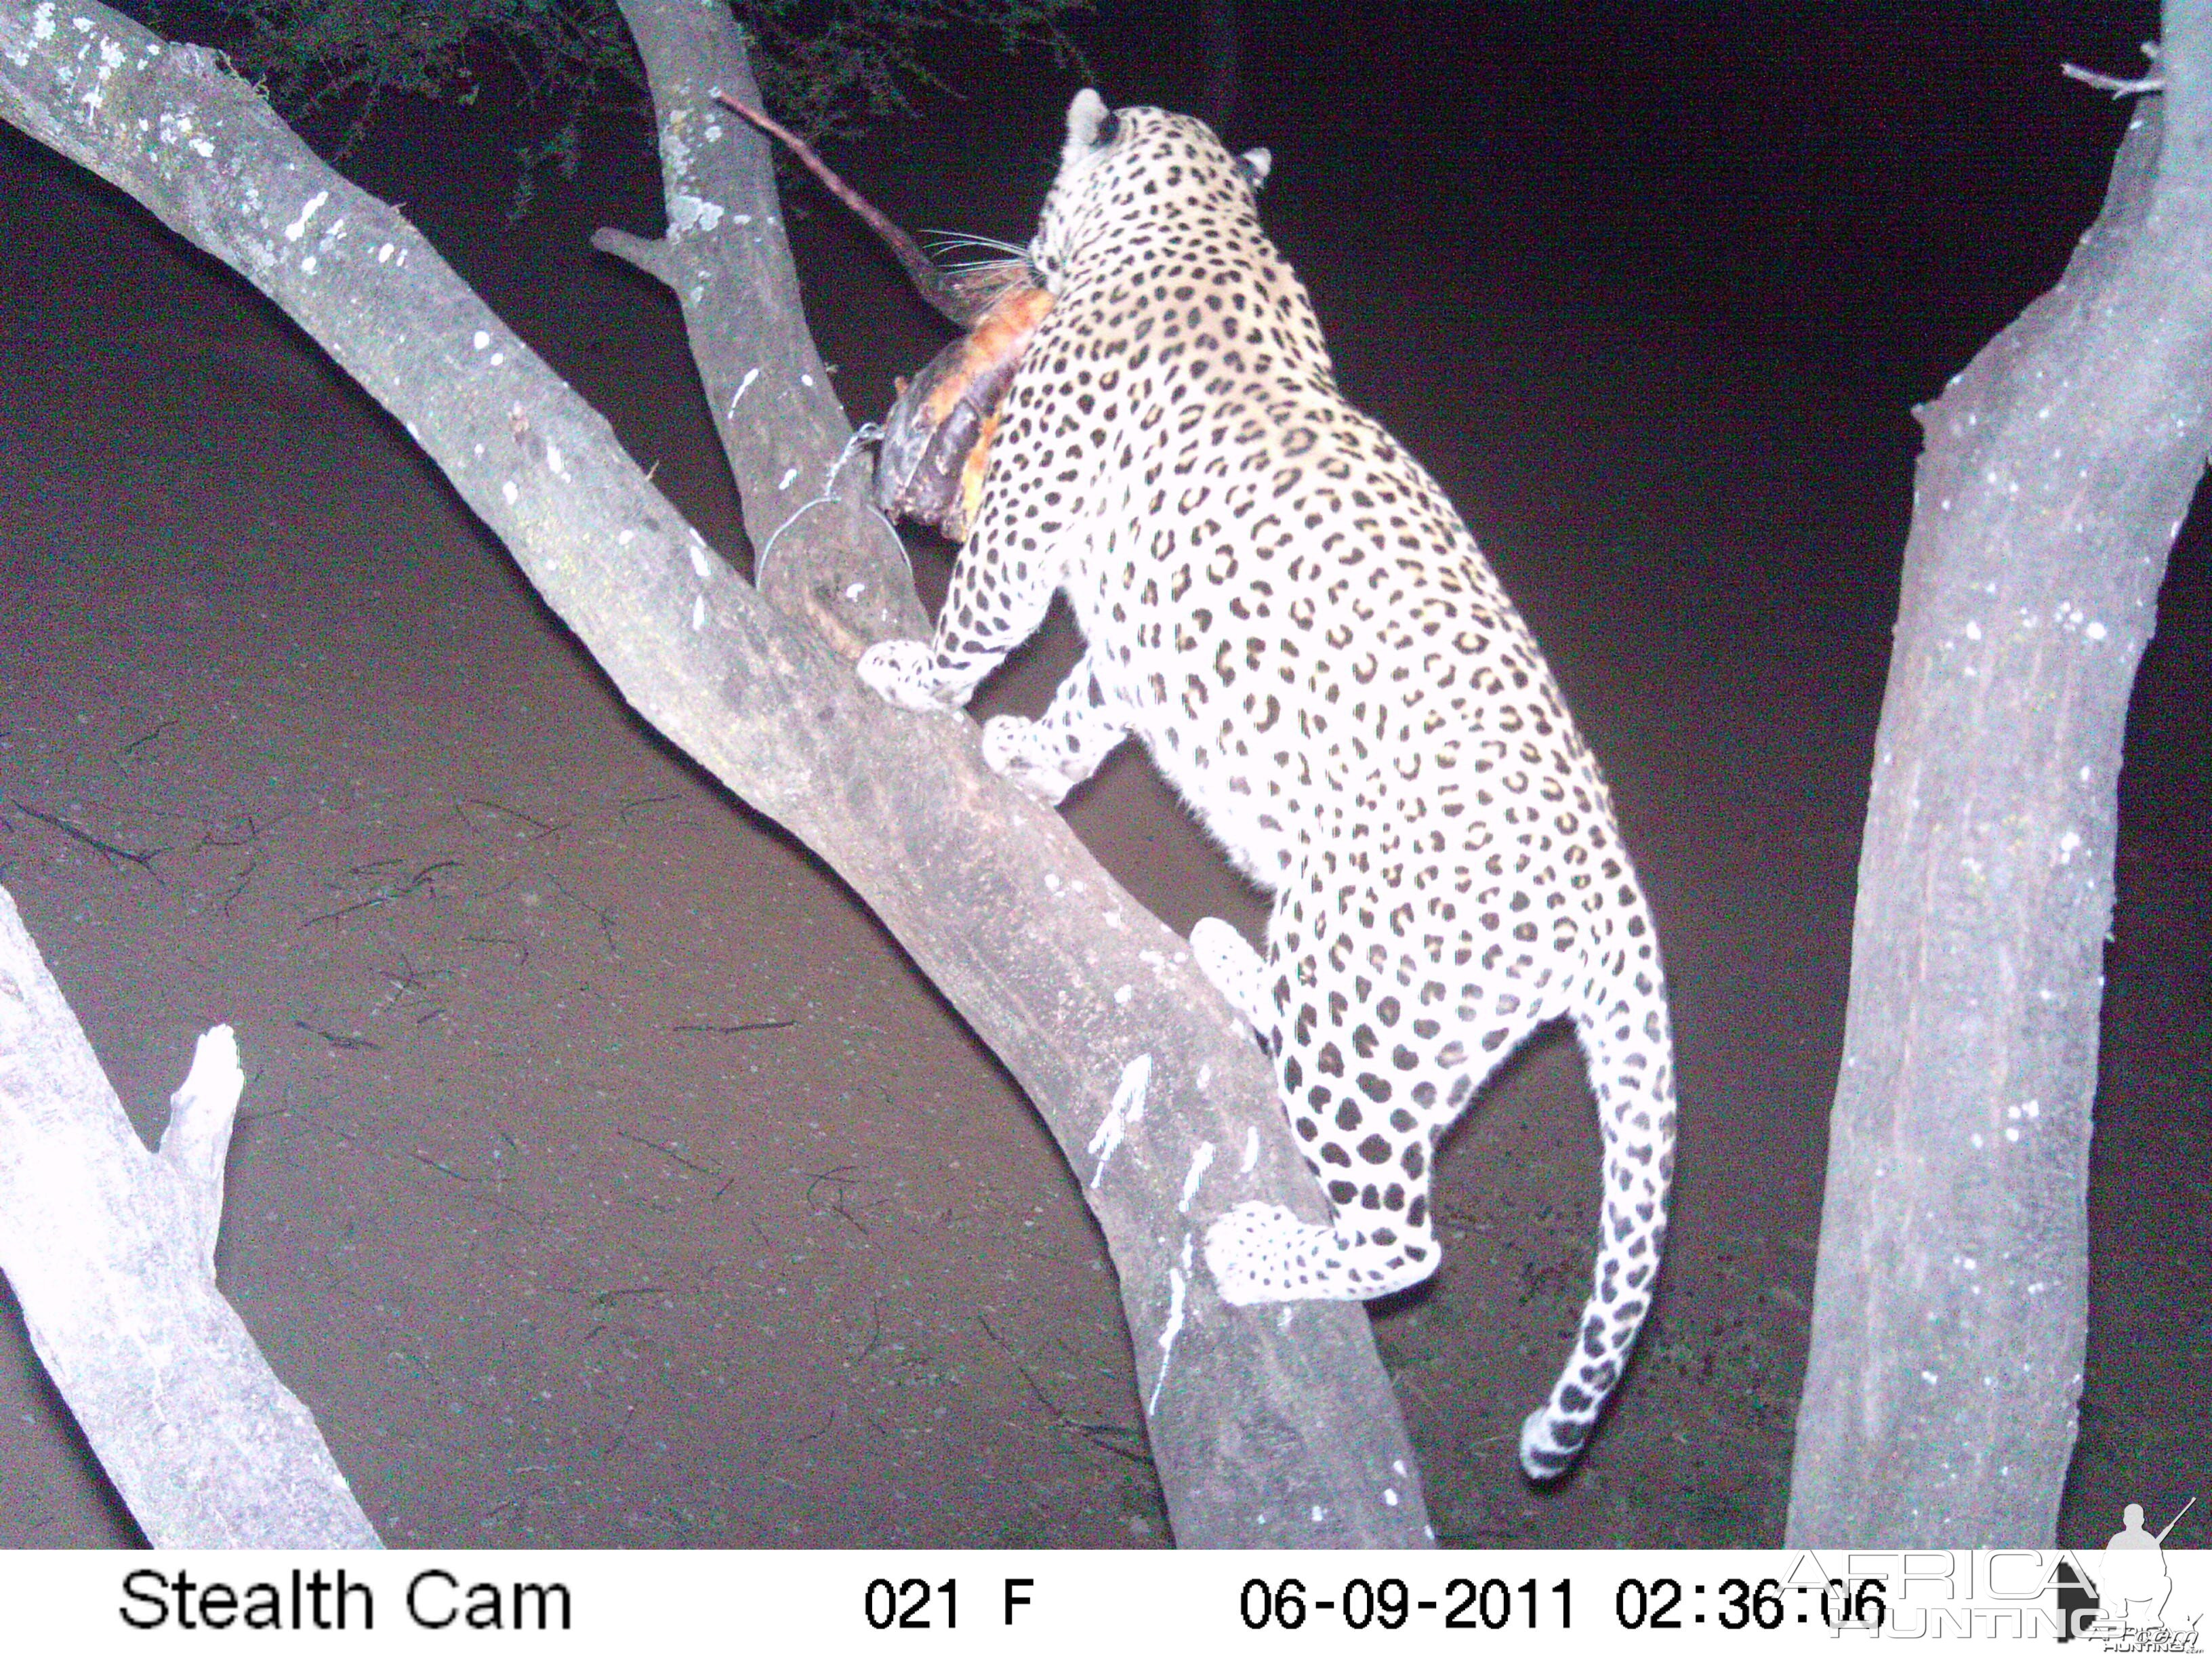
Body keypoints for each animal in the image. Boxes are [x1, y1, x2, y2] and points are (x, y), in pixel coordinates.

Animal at [849, 84, 1672, 1477]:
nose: (1008, 265)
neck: (1204, 226)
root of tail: (1612, 902)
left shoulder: (1031, 513)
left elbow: (988, 615)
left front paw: (921, 679)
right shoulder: (1134, 619)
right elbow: (1091, 701)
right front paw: (1030, 758)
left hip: (1366, 973)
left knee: (1406, 1237)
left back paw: (1259, 1247)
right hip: (1405, 1014)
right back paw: (1232, 965)